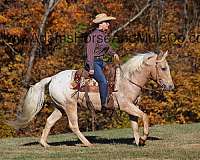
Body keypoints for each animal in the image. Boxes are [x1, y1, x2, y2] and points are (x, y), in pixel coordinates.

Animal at [8, 51, 173, 148]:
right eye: (163, 68)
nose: (170, 86)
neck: (127, 80)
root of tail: (53, 78)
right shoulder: (126, 106)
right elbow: (144, 116)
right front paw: (144, 139)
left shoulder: (131, 107)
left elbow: (134, 124)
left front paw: (138, 141)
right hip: (70, 106)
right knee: (73, 125)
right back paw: (87, 143)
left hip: (60, 108)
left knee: (49, 121)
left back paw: (44, 144)